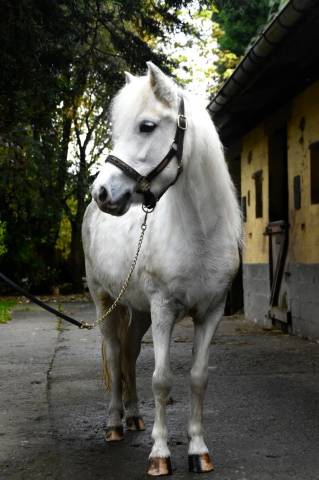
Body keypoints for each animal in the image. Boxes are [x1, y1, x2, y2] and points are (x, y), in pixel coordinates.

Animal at [82, 62, 242, 474]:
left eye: (147, 126)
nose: (101, 193)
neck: (199, 233)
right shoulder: (164, 310)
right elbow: (162, 379)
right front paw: (159, 454)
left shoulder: (211, 312)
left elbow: (198, 378)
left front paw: (199, 450)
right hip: (105, 301)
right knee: (113, 353)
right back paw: (114, 424)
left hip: (138, 311)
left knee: (128, 353)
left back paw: (135, 417)